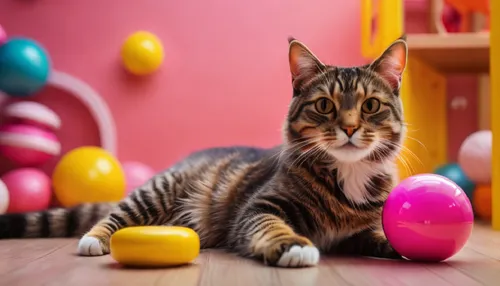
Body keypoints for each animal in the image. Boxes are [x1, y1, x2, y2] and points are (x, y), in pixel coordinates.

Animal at [0, 35, 406, 268]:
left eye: (370, 106)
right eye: (324, 105)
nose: (350, 128)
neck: (347, 175)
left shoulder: (359, 230)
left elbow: (378, 234)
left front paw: (399, 243)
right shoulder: (260, 206)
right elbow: (271, 225)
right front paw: (292, 245)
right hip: (158, 190)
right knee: (115, 215)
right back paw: (93, 239)